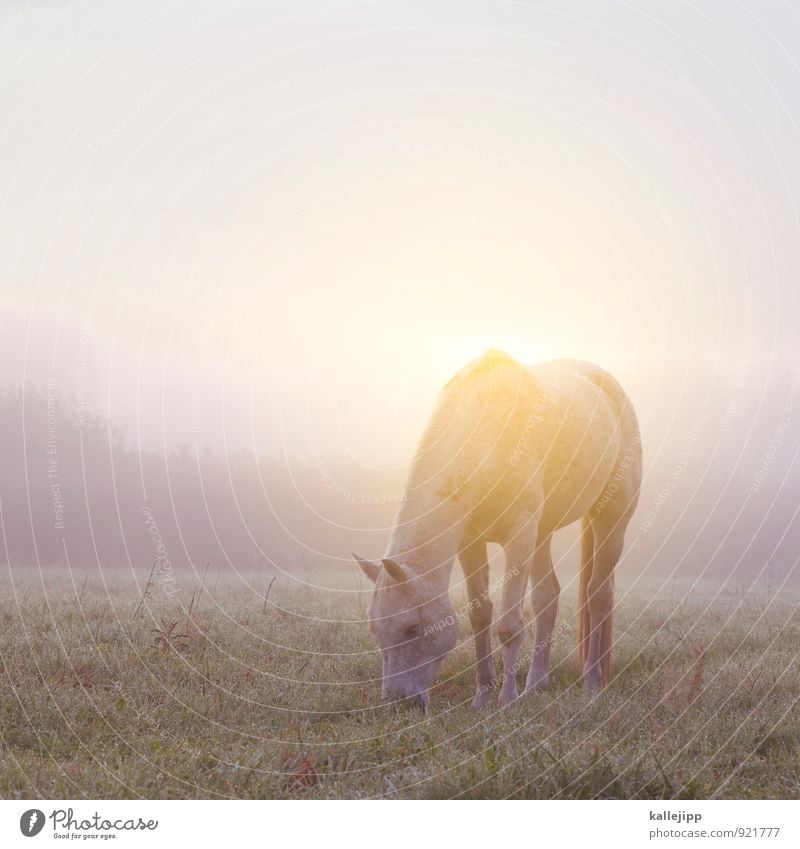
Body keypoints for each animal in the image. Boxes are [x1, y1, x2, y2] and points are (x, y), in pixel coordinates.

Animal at [354, 350, 640, 708]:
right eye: (375, 630)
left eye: (411, 629)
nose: (398, 702)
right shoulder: (471, 543)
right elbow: (480, 617)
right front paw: (482, 697)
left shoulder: (518, 537)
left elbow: (508, 626)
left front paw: (507, 700)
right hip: (542, 533)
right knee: (548, 597)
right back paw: (536, 686)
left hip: (611, 517)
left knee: (598, 595)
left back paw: (590, 682)